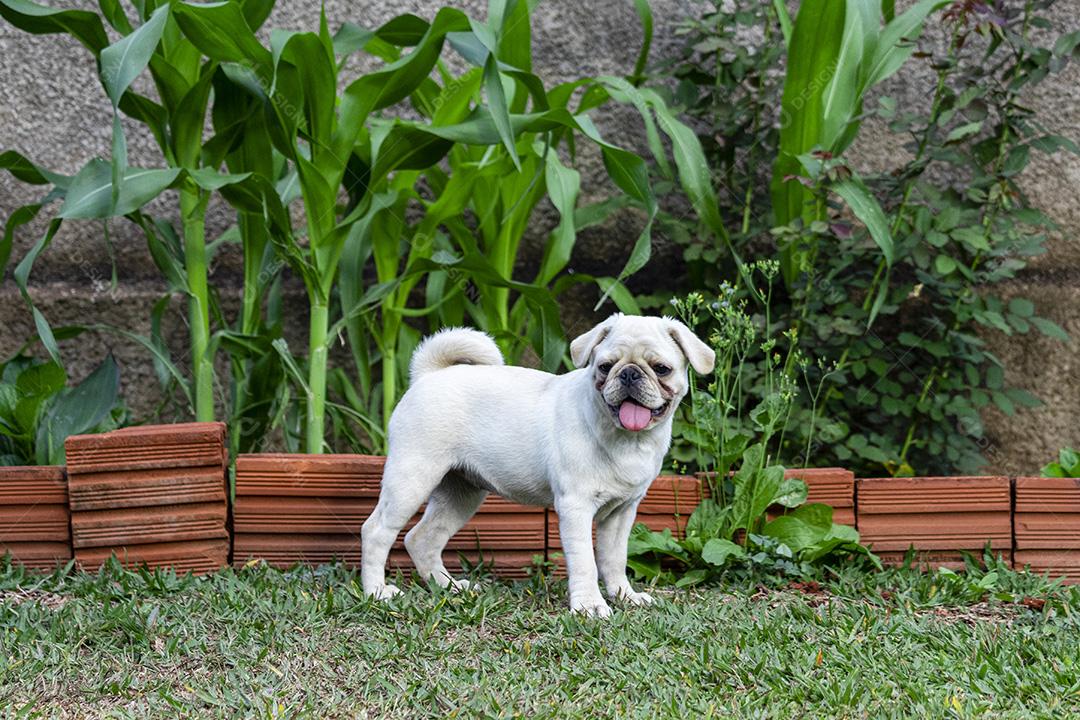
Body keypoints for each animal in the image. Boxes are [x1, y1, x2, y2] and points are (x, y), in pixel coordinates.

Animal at [362, 313, 712, 617]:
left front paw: (624, 595)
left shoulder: (622, 513)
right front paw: (589, 606)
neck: (628, 439)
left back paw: (448, 587)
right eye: (605, 367)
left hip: (462, 493)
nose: (629, 373)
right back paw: (377, 592)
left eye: (661, 369)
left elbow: (614, 558)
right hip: (412, 478)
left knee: (422, 539)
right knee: (376, 531)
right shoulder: (575, 507)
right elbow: (586, 561)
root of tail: (429, 375)